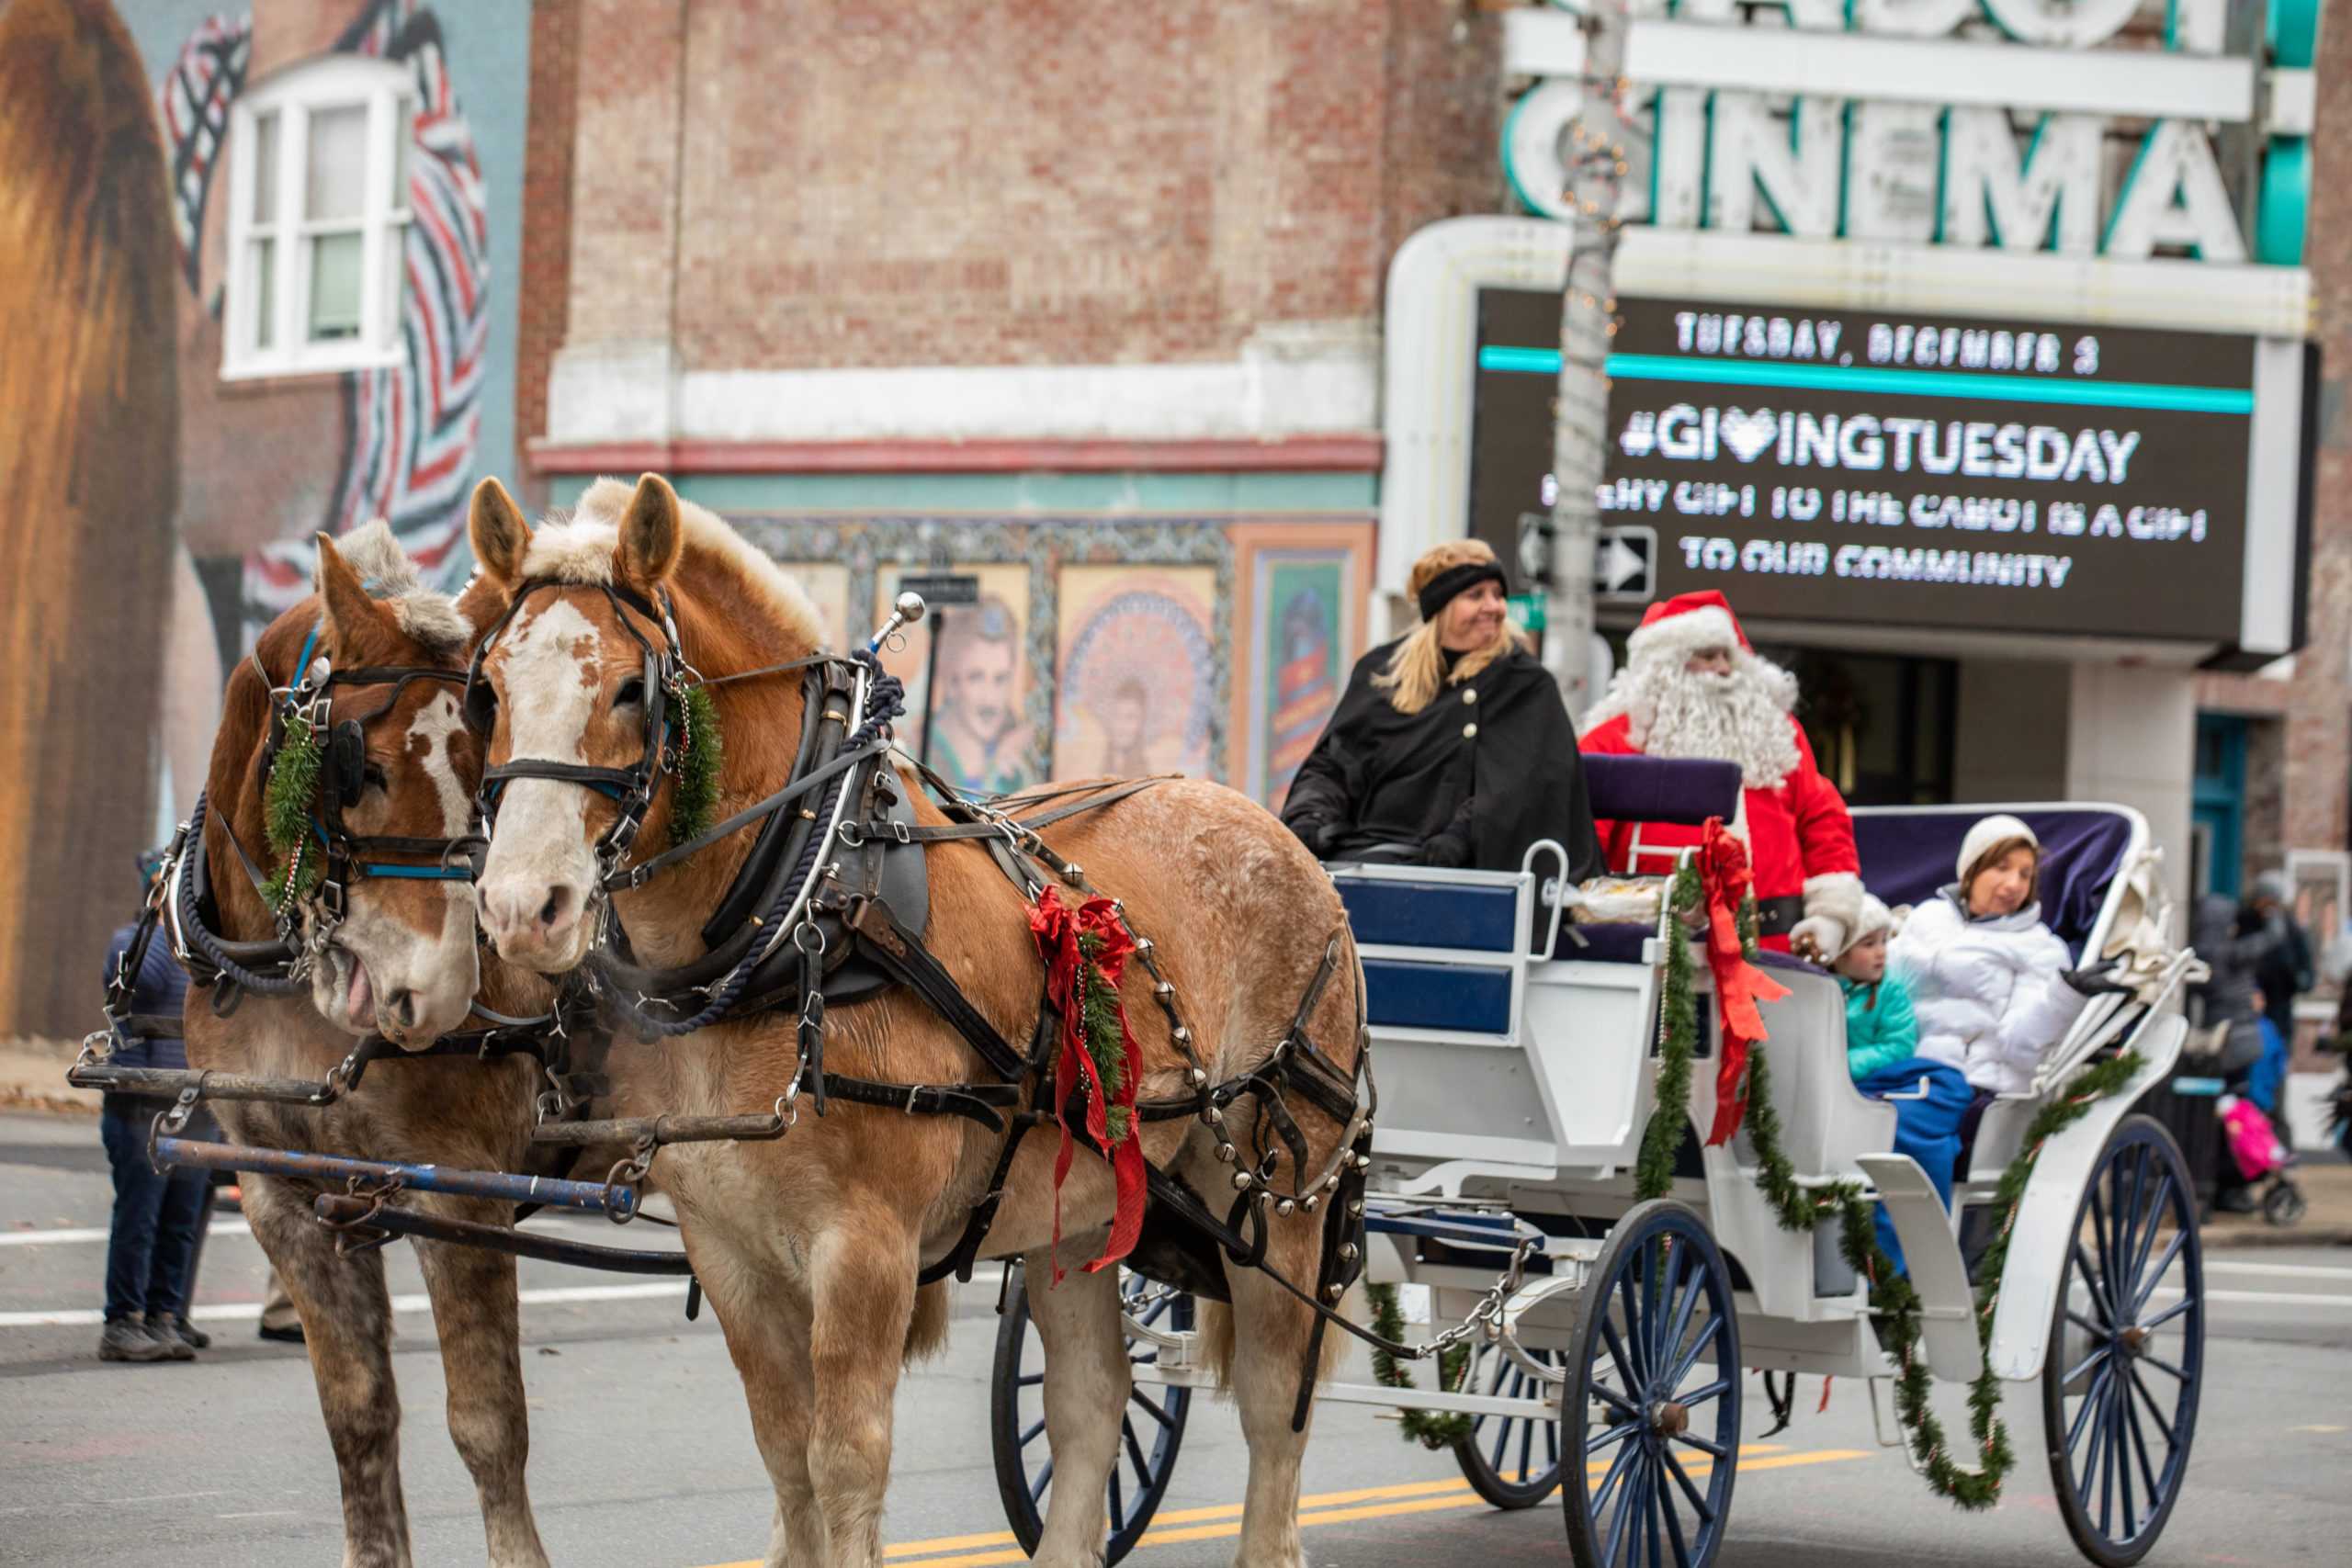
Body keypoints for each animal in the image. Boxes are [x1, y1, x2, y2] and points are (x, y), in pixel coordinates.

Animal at [177, 531, 560, 1568]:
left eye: (486, 774)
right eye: (364, 768)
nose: (441, 988)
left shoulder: (461, 1190)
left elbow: (489, 1424)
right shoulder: (287, 1195)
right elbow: (357, 1416)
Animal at [460, 479, 1374, 1568]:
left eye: (634, 690)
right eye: (485, 694)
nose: (524, 907)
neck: (806, 898)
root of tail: (1279, 836)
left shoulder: (866, 1249)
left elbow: (843, 1462)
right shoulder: (726, 1248)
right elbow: (785, 1455)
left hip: (1280, 1198)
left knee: (1276, 1409)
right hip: (1080, 1203)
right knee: (1091, 1401)